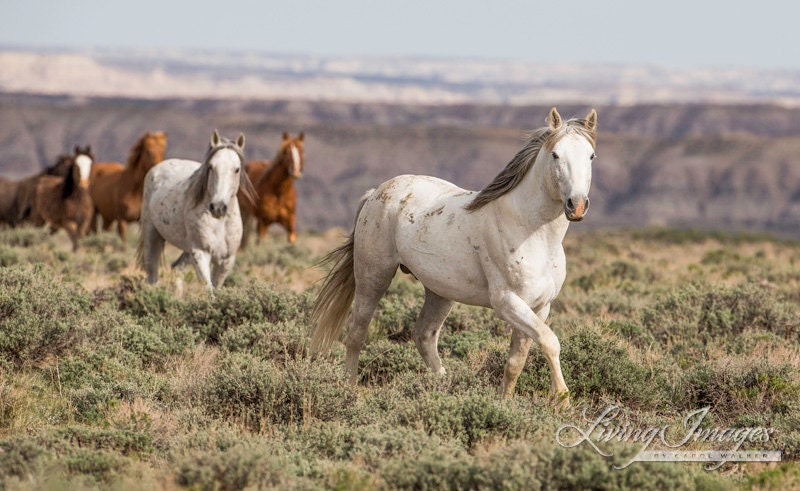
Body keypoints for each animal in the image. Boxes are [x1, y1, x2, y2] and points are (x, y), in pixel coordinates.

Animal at [137, 130, 256, 290]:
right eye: (211, 166)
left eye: (236, 169)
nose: (218, 207)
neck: (220, 224)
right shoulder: (201, 254)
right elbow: (208, 289)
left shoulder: (226, 261)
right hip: (152, 237)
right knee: (152, 276)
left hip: (188, 251)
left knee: (177, 268)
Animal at [310, 108, 597, 407]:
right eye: (555, 155)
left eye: (591, 156)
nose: (577, 205)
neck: (531, 231)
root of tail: (375, 193)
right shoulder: (507, 302)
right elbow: (550, 341)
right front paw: (563, 400)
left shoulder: (540, 306)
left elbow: (517, 360)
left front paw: (505, 403)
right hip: (373, 278)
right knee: (356, 333)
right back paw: (349, 392)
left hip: (439, 292)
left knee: (424, 336)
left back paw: (444, 387)